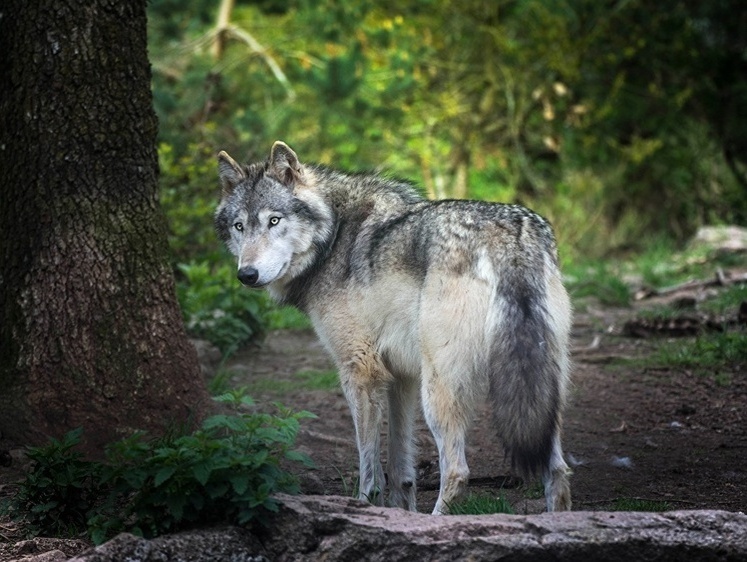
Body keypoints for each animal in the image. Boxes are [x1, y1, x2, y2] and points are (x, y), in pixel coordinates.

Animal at [213, 139, 576, 512]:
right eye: (239, 226)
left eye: (274, 221)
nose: (247, 275)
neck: (333, 237)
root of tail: (510, 235)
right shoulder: (401, 376)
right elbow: (401, 467)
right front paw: (402, 510)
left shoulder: (360, 371)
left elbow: (369, 467)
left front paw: (364, 506)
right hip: (541, 390)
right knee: (557, 469)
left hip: (439, 390)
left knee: (457, 471)